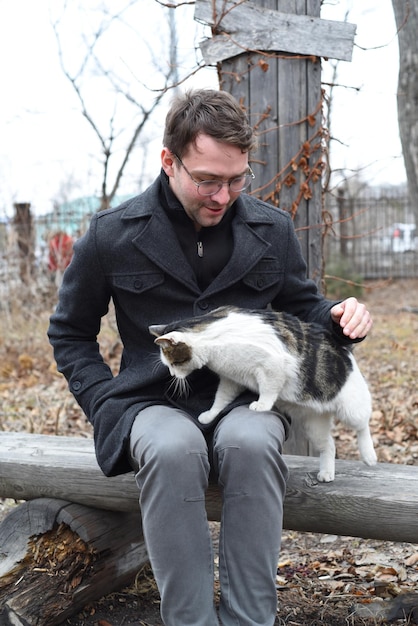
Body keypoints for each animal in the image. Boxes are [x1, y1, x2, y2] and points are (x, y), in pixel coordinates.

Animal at [149, 304, 376, 480]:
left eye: (173, 363)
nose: (171, 373)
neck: (212, 339)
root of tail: (344, 351)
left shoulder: (272, 366)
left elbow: (268, 389)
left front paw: (262, 405)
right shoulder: (232, 379)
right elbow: (221, 398)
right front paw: (210, 415)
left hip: (351, 409)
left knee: (363, 426)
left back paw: (369, 456)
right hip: (314, 424)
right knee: (329, 445)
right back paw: (327, 473)